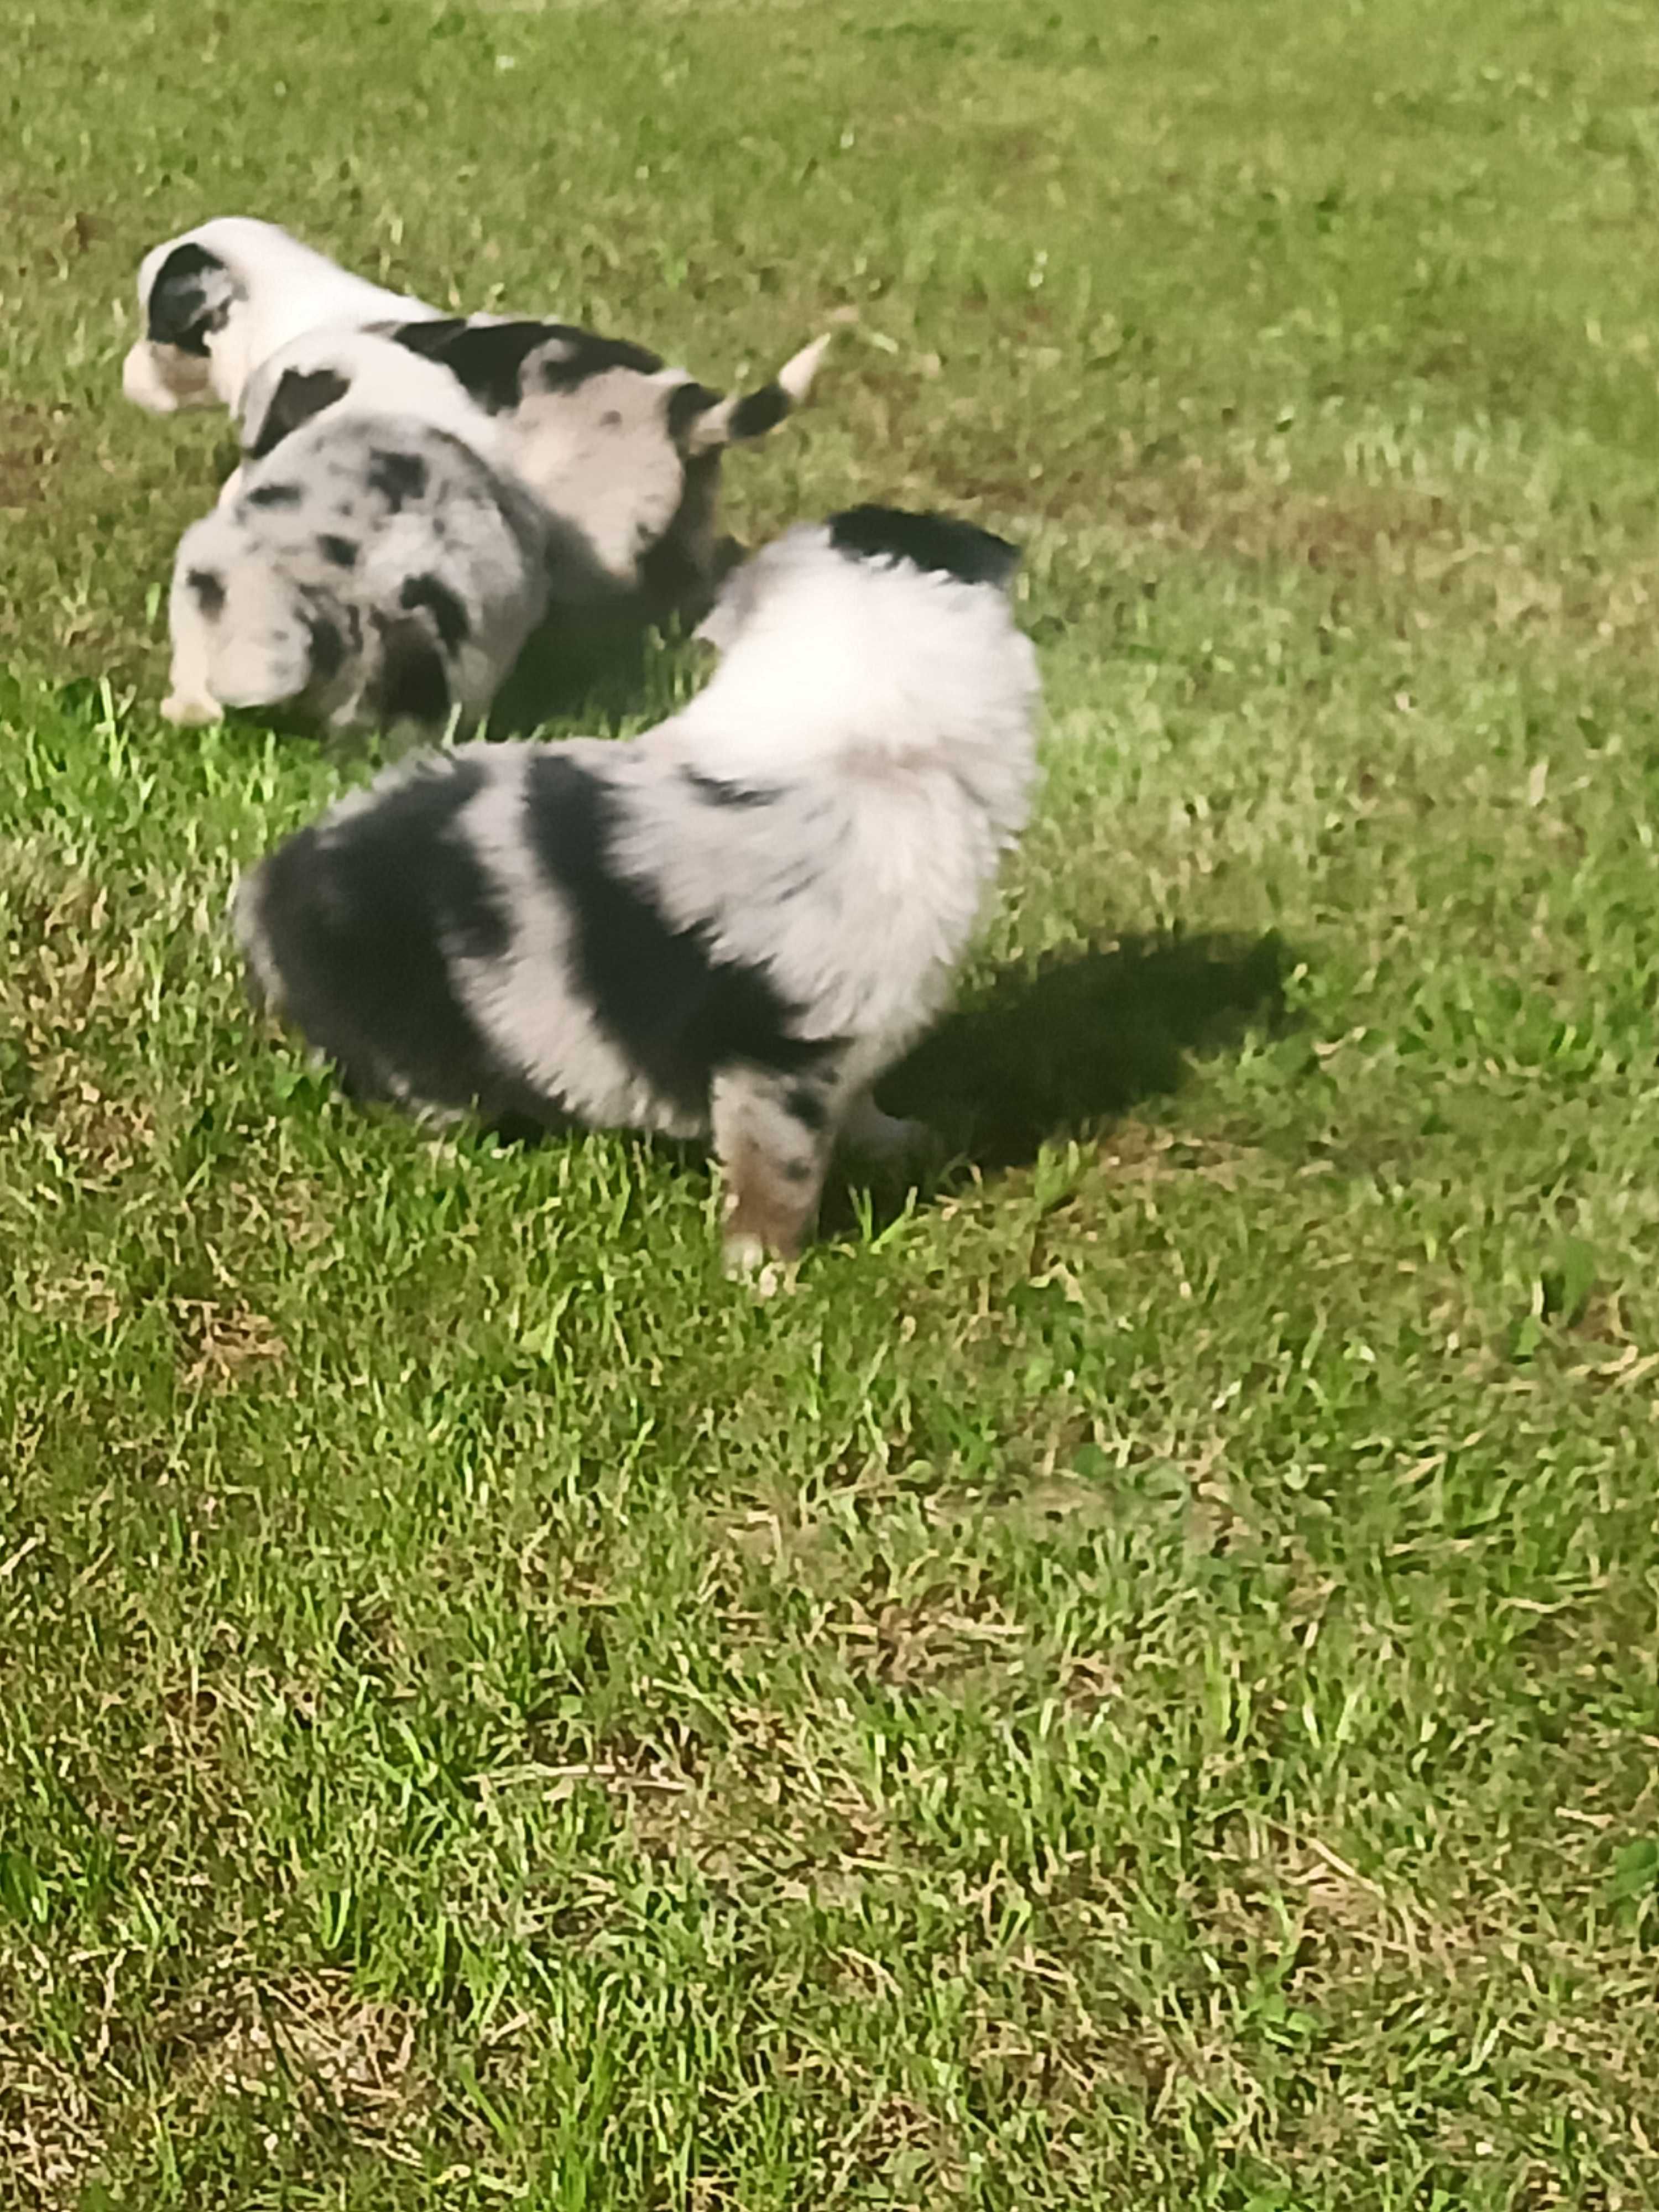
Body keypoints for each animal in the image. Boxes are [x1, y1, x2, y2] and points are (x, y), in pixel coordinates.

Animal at [237, 507, 1040, 1283]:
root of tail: (269, 886)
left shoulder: (847, 1022)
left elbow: (858, 1097)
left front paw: (896, 1139)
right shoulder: (776, 1051)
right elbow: (782, 1169)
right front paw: (766, 1275)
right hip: (415, 1018)